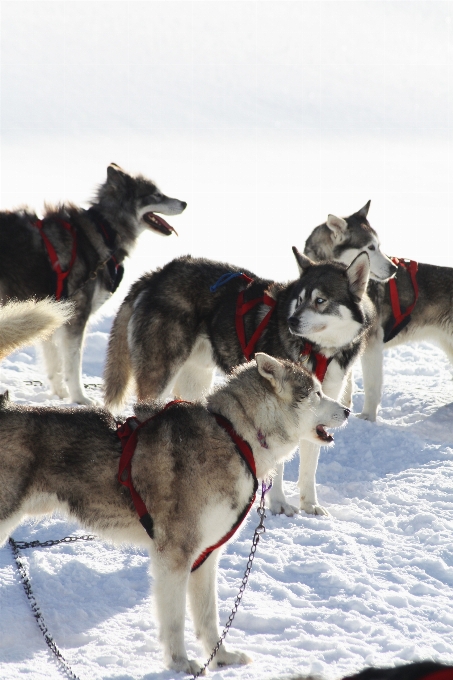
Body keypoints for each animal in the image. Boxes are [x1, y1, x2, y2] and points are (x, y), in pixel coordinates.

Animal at [0, 166, 185, 404]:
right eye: (156, 195)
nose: (184, 203)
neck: (104, 231)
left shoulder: (51, 309)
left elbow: (54, 363)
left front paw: (60, 395)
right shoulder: (76, 316)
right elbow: (73, 365)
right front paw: (80, 398)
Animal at [0, 354, 350, 672]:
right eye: (317, 392)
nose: (347, 410)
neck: (236, 436)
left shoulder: (205, 557)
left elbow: (208, 618)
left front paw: (221, 658)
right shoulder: (175, 556)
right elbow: (175, 620)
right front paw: (180, 663)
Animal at [104, 254, 372, 516]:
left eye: (320, 300)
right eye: (299, 300)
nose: (292, 321)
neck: (317, 350)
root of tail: (156, 275)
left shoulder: (320, 406)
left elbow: (309, 462)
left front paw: (310, 504)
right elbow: (278, 466)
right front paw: (279, 504)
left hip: (197, 379)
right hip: (161, 374)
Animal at [302, 199, 452, 420]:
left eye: (379, 246)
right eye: (370, 247)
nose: (394, 269)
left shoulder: (371, 342)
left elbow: (371, 386)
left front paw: (367, 417)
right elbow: (346, 383)